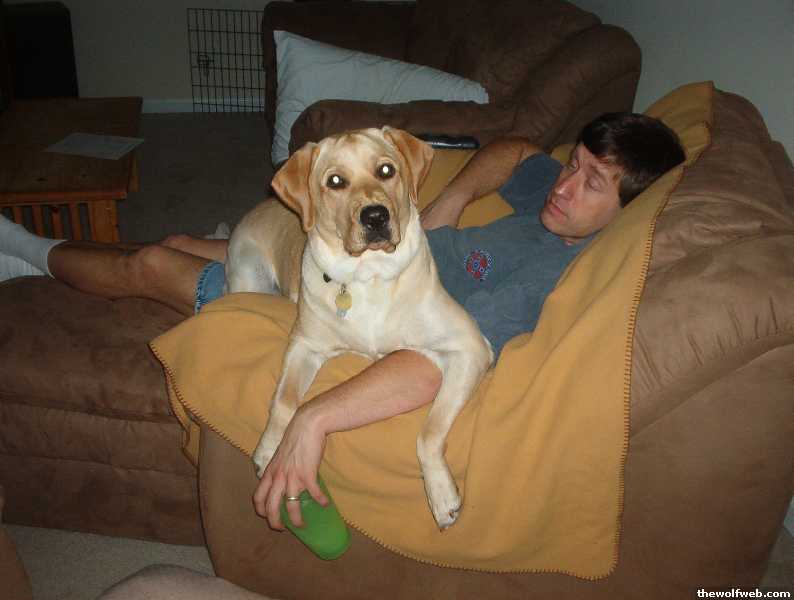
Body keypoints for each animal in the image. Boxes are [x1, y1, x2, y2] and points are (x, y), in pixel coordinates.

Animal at [225, 127, 493, 529]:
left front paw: (441, 494)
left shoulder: (470, 345)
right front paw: (270, 448)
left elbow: (429, 433)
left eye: (386, 170)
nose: (376, 217)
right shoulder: (304, 344)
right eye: (335, 181)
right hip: (247, 277)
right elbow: (284, 401)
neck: (368, 277)